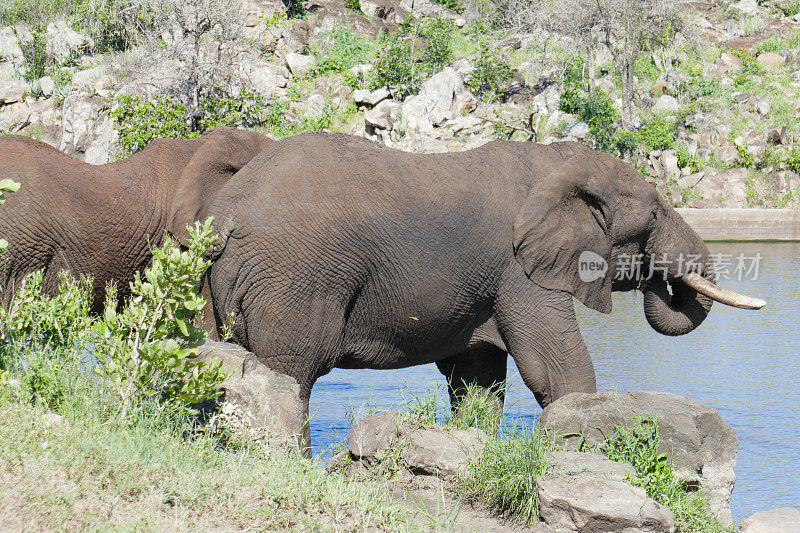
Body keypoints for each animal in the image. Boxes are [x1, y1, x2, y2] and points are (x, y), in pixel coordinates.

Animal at [167, 132, 764, 444]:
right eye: (656, 212)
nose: (661, 278)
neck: (557, 162)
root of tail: (224, 217)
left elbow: (477, 378)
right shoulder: (520, 271)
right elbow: (557, 368)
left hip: (215, 282)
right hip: (294, 279)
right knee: (290, 374)